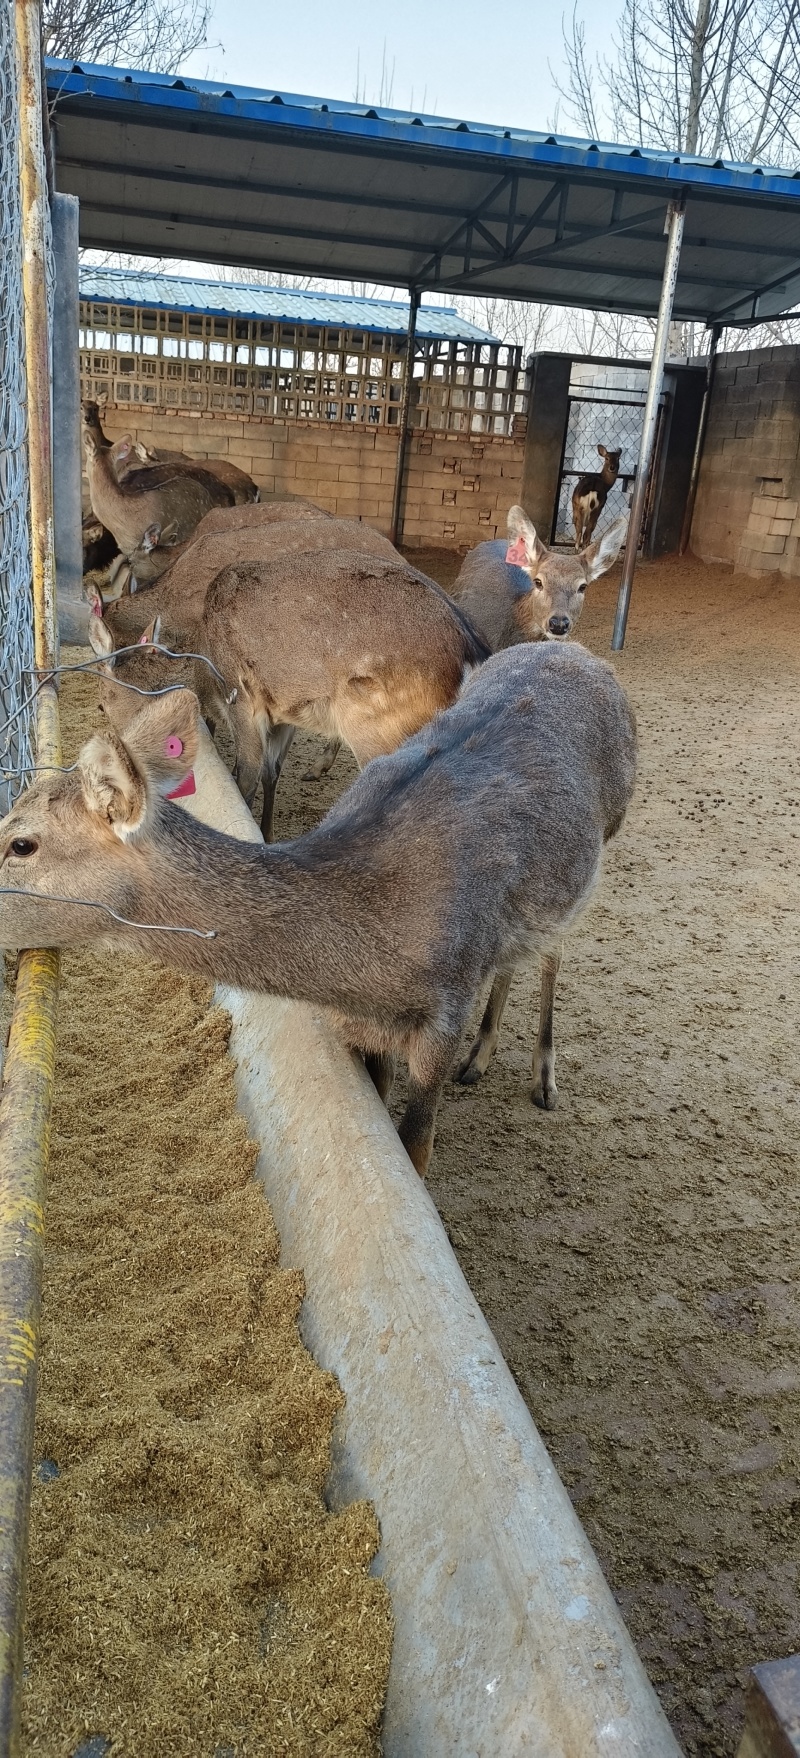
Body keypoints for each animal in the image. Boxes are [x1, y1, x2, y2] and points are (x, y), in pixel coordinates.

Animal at [0, 642, 637, 1174]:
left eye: (21, 843)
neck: (365, 974)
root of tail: (577, 649)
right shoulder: (359, 1031)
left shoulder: (444, 1013)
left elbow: (418, 1151)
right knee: (515, 953)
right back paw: (480, 1057)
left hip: (604, 835)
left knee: (554, 949)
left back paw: (541, 1078)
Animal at [90, 543, 490, 840]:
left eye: (102, 704)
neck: (204, 670)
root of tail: (473, 653)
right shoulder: (284, 713)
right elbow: (272, 772)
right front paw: (268, 834)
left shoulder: (241, 699)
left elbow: (246, 778)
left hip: (373, 724)